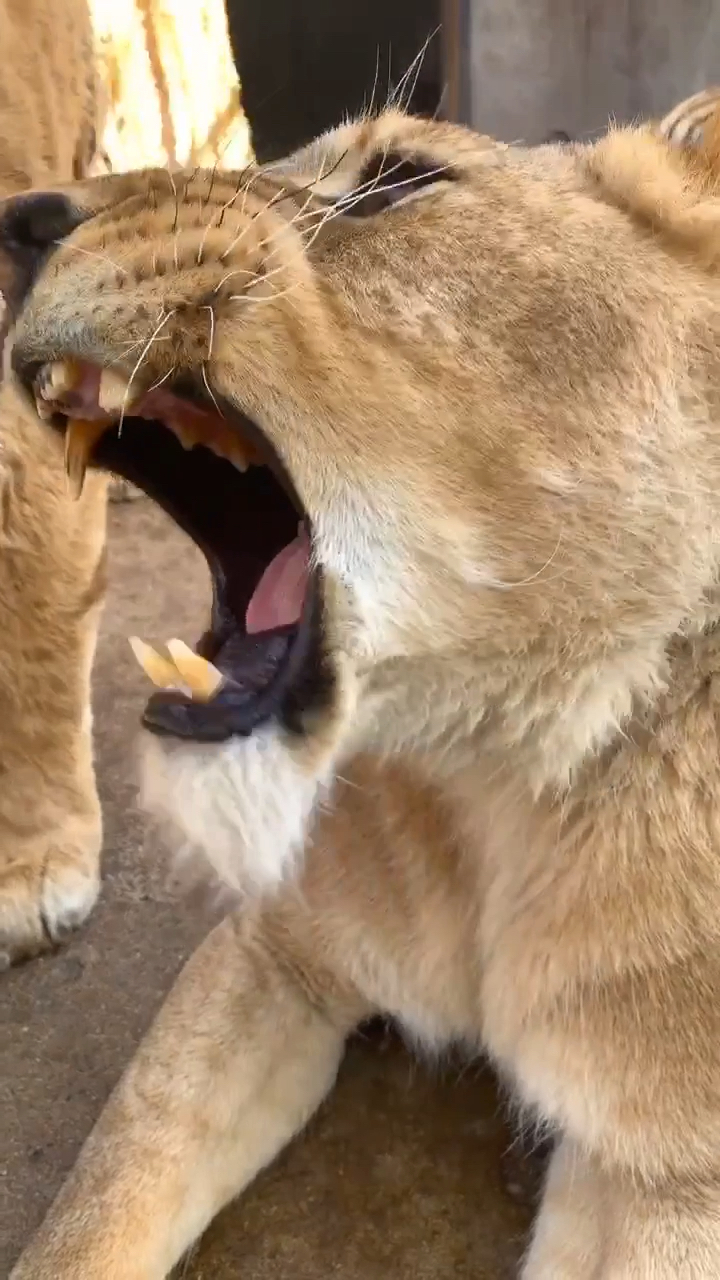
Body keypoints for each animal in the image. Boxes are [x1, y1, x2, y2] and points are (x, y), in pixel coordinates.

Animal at [7, 85, 720, 1274]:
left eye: (398, 182)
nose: (17, 221)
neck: (488, 786)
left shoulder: (674, 1177)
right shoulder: (267, 949)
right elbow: (98, 1209)